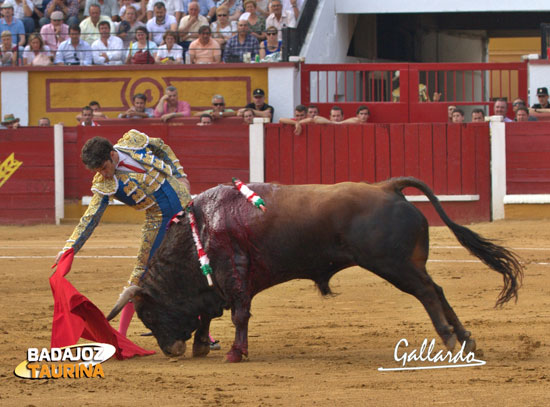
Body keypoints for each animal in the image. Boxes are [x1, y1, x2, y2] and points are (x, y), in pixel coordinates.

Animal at [108, 178, 528, 364]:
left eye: (148, 314)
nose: (171, 351)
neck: (201, 227)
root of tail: (387, 187)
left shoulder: (234, 274)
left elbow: (239, 314)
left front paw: (235, 353)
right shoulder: (218, 284)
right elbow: (210, 315)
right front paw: (200, 346)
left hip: (393, 265)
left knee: (427, 292)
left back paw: (451, 342)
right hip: (407, 264)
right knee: (437, 290)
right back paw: (467, 340)